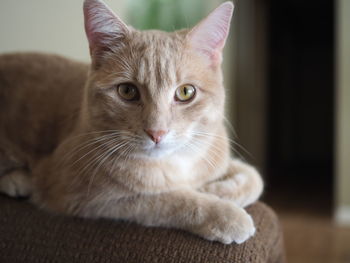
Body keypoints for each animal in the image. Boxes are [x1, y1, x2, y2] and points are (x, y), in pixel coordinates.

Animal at [0, 0, 262, 245]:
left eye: (186, 92)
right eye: (127, 91)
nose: (157, 132)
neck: (173, 165)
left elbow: (254, 177)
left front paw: (216, 190)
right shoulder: (84, 196)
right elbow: (167, 199)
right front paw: (222, 212)